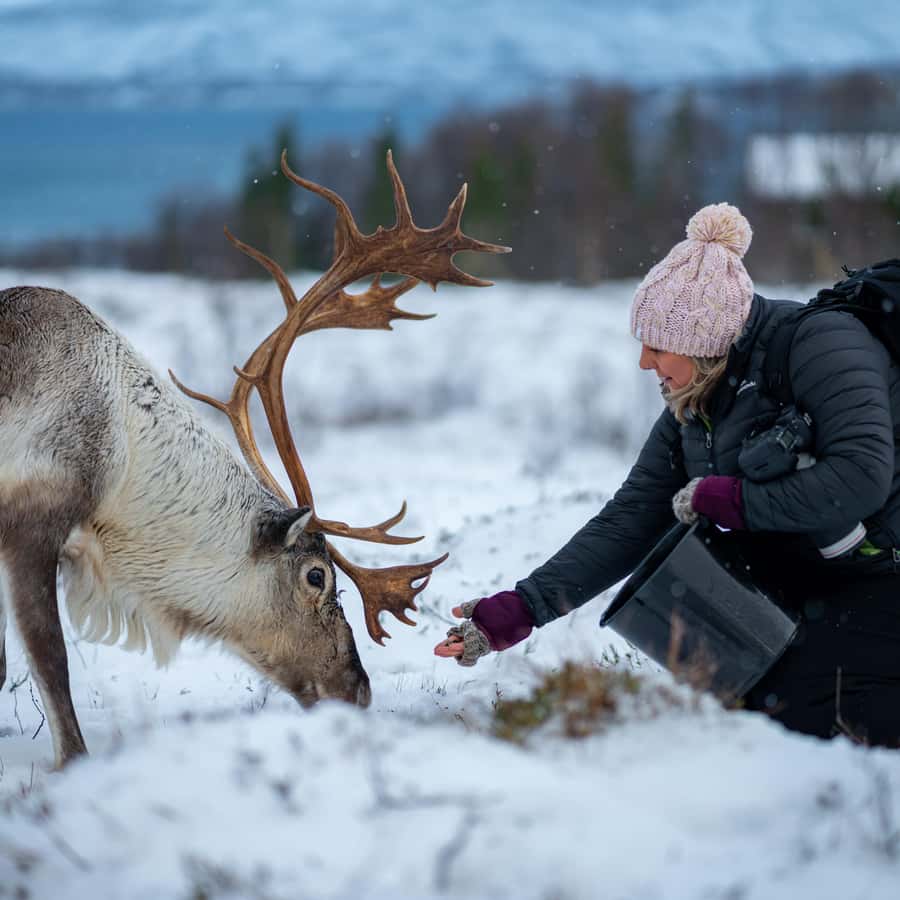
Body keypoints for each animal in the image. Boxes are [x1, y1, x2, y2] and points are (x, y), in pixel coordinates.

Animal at [0, 150, 509, 768]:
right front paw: (72, 761)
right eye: (317, 576)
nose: (358, 689)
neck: (119, 472)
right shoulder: (32, 518)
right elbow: (51, 662)